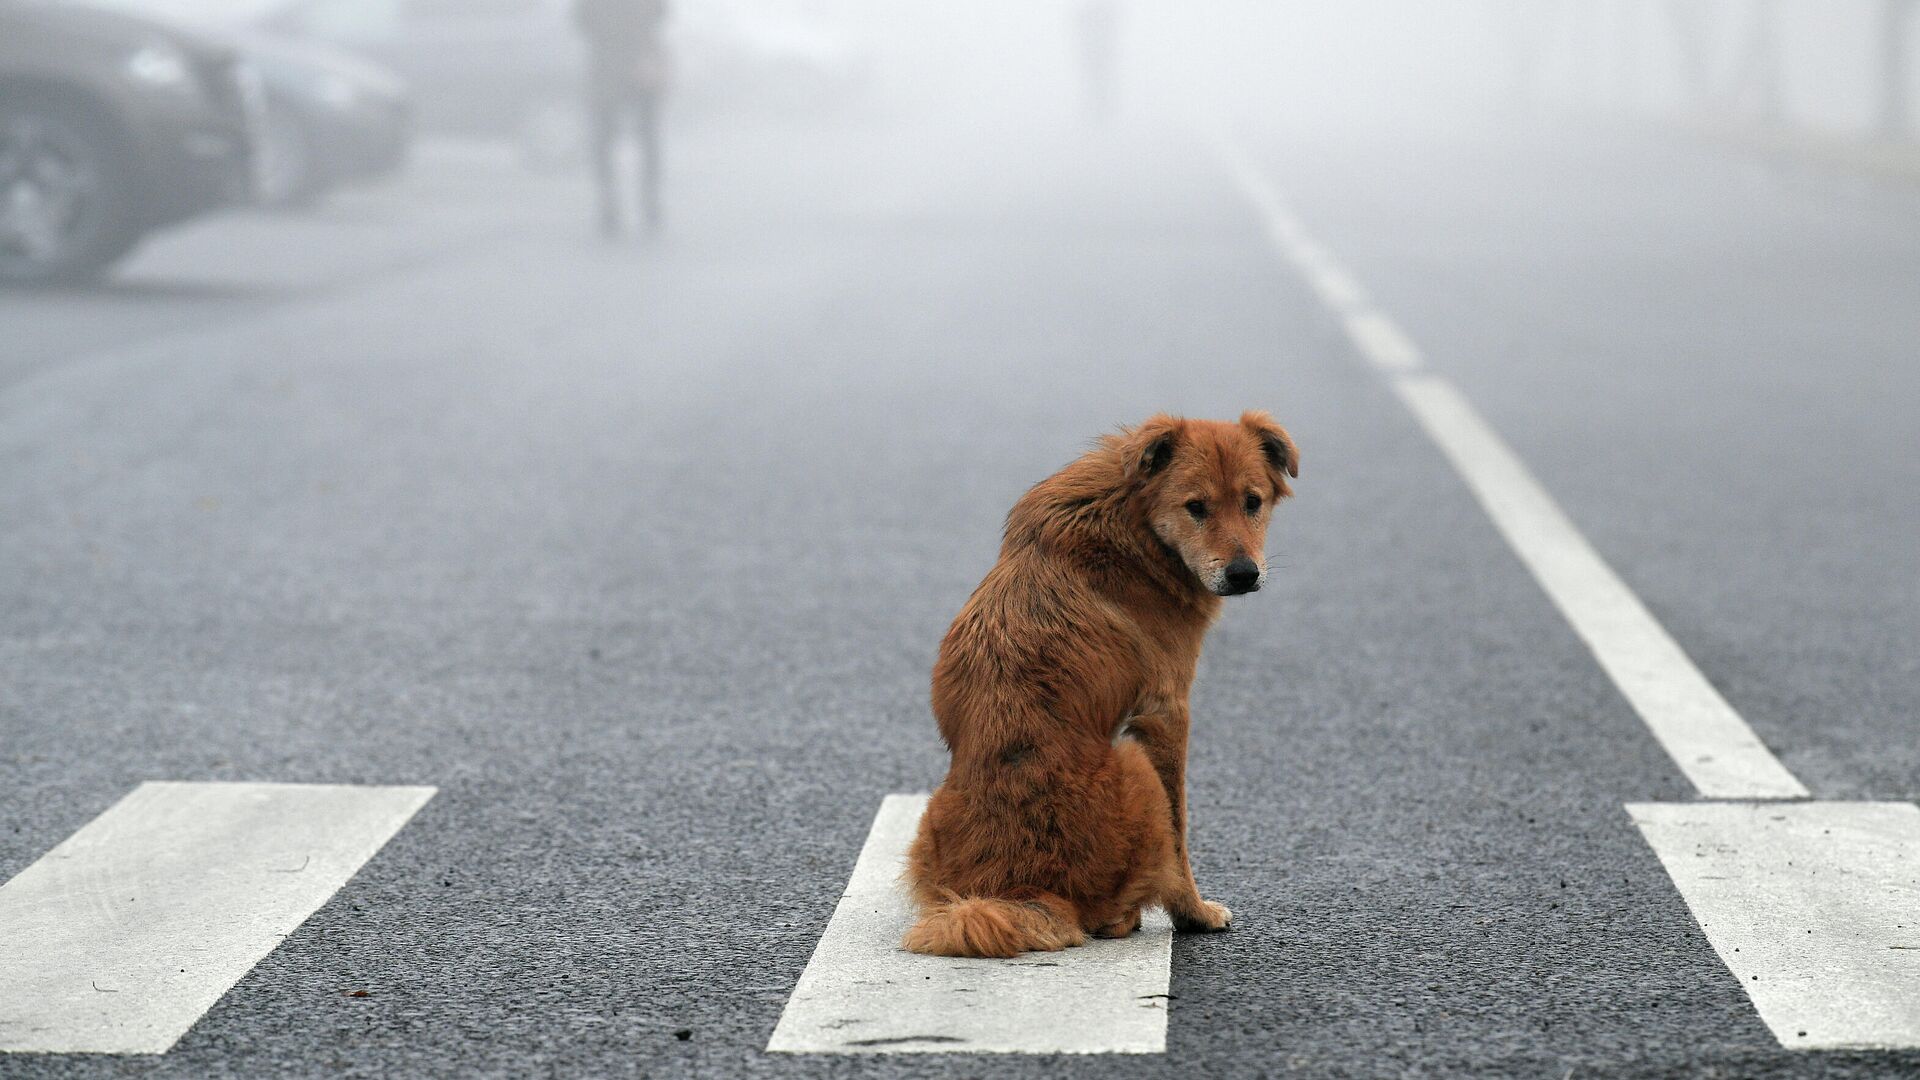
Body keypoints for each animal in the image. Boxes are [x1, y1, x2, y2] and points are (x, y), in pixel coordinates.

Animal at [902, 409, 1297, 949]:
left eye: (1252, 502)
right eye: (1196, 507)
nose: (1243, 574)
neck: (1133, 521)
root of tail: (1023, 888)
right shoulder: (1166, 712)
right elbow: (1181, 832)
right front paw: (1193, 914)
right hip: (1135, 764)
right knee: (1111, 907)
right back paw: (1127, 917)